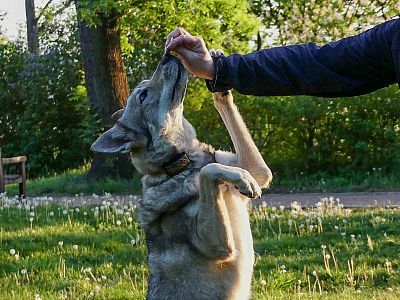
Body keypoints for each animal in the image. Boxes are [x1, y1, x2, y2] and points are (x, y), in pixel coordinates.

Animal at [90, 52, 272, 298]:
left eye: (145, 85)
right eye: (143, 95)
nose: (167, 55)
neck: (183, 163)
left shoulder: (259, 171)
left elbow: (220, 164)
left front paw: (217, 74)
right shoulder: (217, 246)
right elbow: (208, 171)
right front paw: (243, 180)